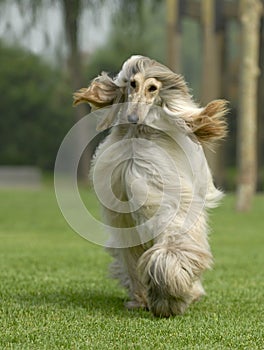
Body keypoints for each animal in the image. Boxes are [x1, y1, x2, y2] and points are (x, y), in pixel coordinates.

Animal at [73, 54, 228, 318]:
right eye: (132, 84)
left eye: (153, 88)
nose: (133, 117)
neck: (137, 136)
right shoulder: (127, 221)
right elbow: (133, 256)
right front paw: (147, 297)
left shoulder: (169, 201)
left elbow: (174, 241)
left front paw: (169, 295)